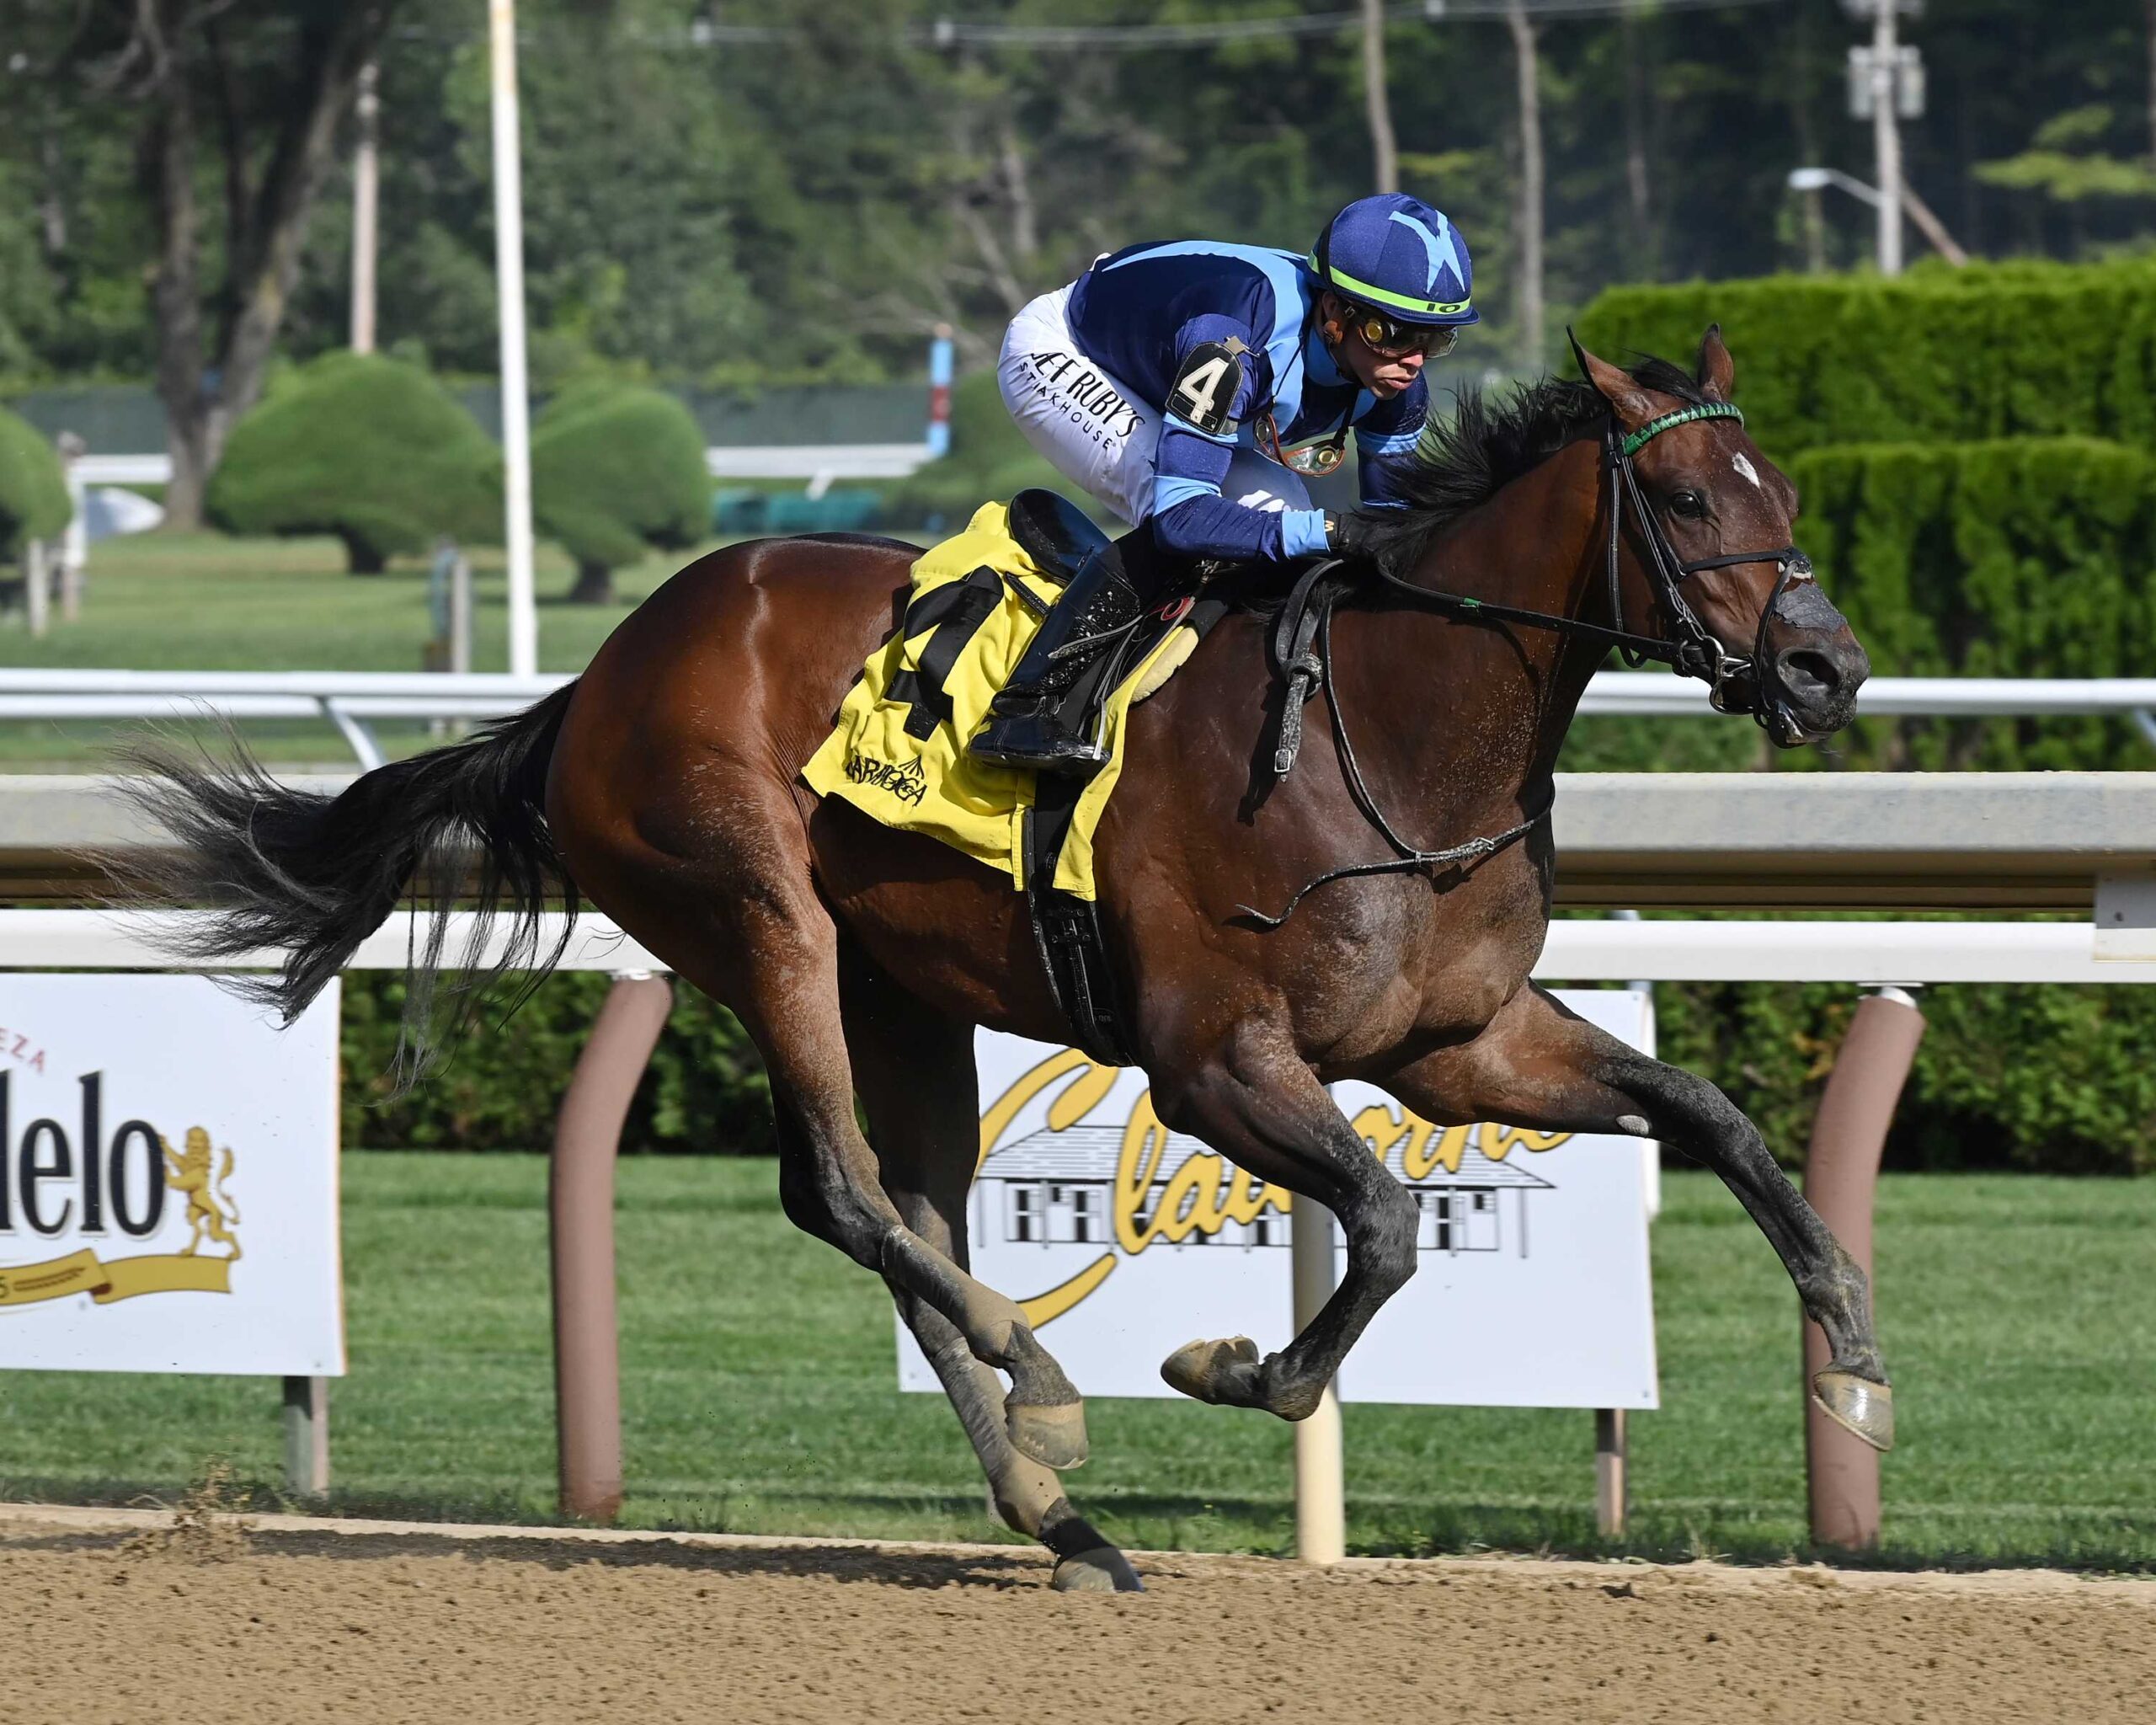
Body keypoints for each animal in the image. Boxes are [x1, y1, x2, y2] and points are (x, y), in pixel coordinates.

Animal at [123, 328, 1883, 1593]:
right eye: (1695, 502)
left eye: (1792, 497)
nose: (1827, 667)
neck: (1389, 728)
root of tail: (596, 675)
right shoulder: (1212, 1054)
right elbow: (1384, 1221)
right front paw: (1233, 1361)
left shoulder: (1456, 1040)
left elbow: (1708, 1110)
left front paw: (1850, 1348)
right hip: (759, 918)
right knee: (845, 1191)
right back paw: (1042, 1381)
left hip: (903, 987)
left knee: (902, 1208)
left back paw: (1061, 1512)